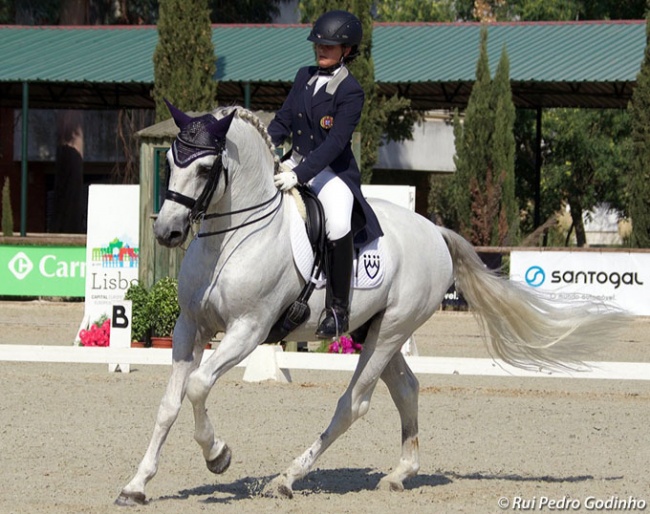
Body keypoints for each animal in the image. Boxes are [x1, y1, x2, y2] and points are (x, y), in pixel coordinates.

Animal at [115, 105, 624, 504]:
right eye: (171, 162)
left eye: (205, 169)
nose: (167, 232)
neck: (233, 237)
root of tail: (433, 231)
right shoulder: (189, 327)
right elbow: (170, 402)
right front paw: (136, 485)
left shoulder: (249, 330)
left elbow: (199, 386)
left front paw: (218, 455)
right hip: (377, 330)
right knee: (407, 389)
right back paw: (400, 474)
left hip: (391, 330)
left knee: (353, 404)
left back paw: (287, 478)